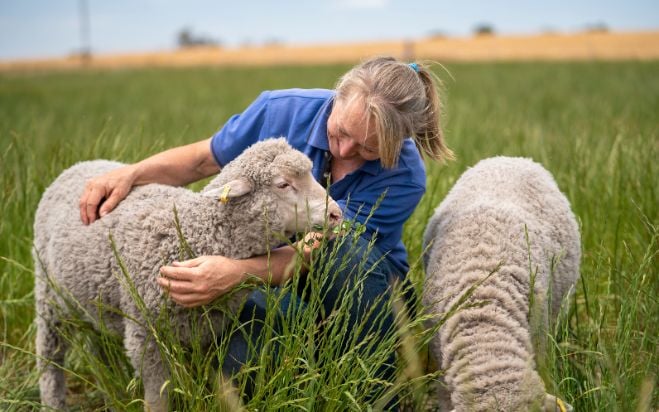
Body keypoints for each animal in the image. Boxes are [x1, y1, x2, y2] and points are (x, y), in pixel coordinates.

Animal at [33, 138, 342, 412]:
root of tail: (78, 166)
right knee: (50, 356)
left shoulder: (207, 331)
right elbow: (158, 399)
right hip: (48, 293)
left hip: (93, 296)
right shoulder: (146, 334)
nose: (337, 214)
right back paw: (53, 402)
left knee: (97, 347)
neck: (199, 230)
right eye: (283, 184)